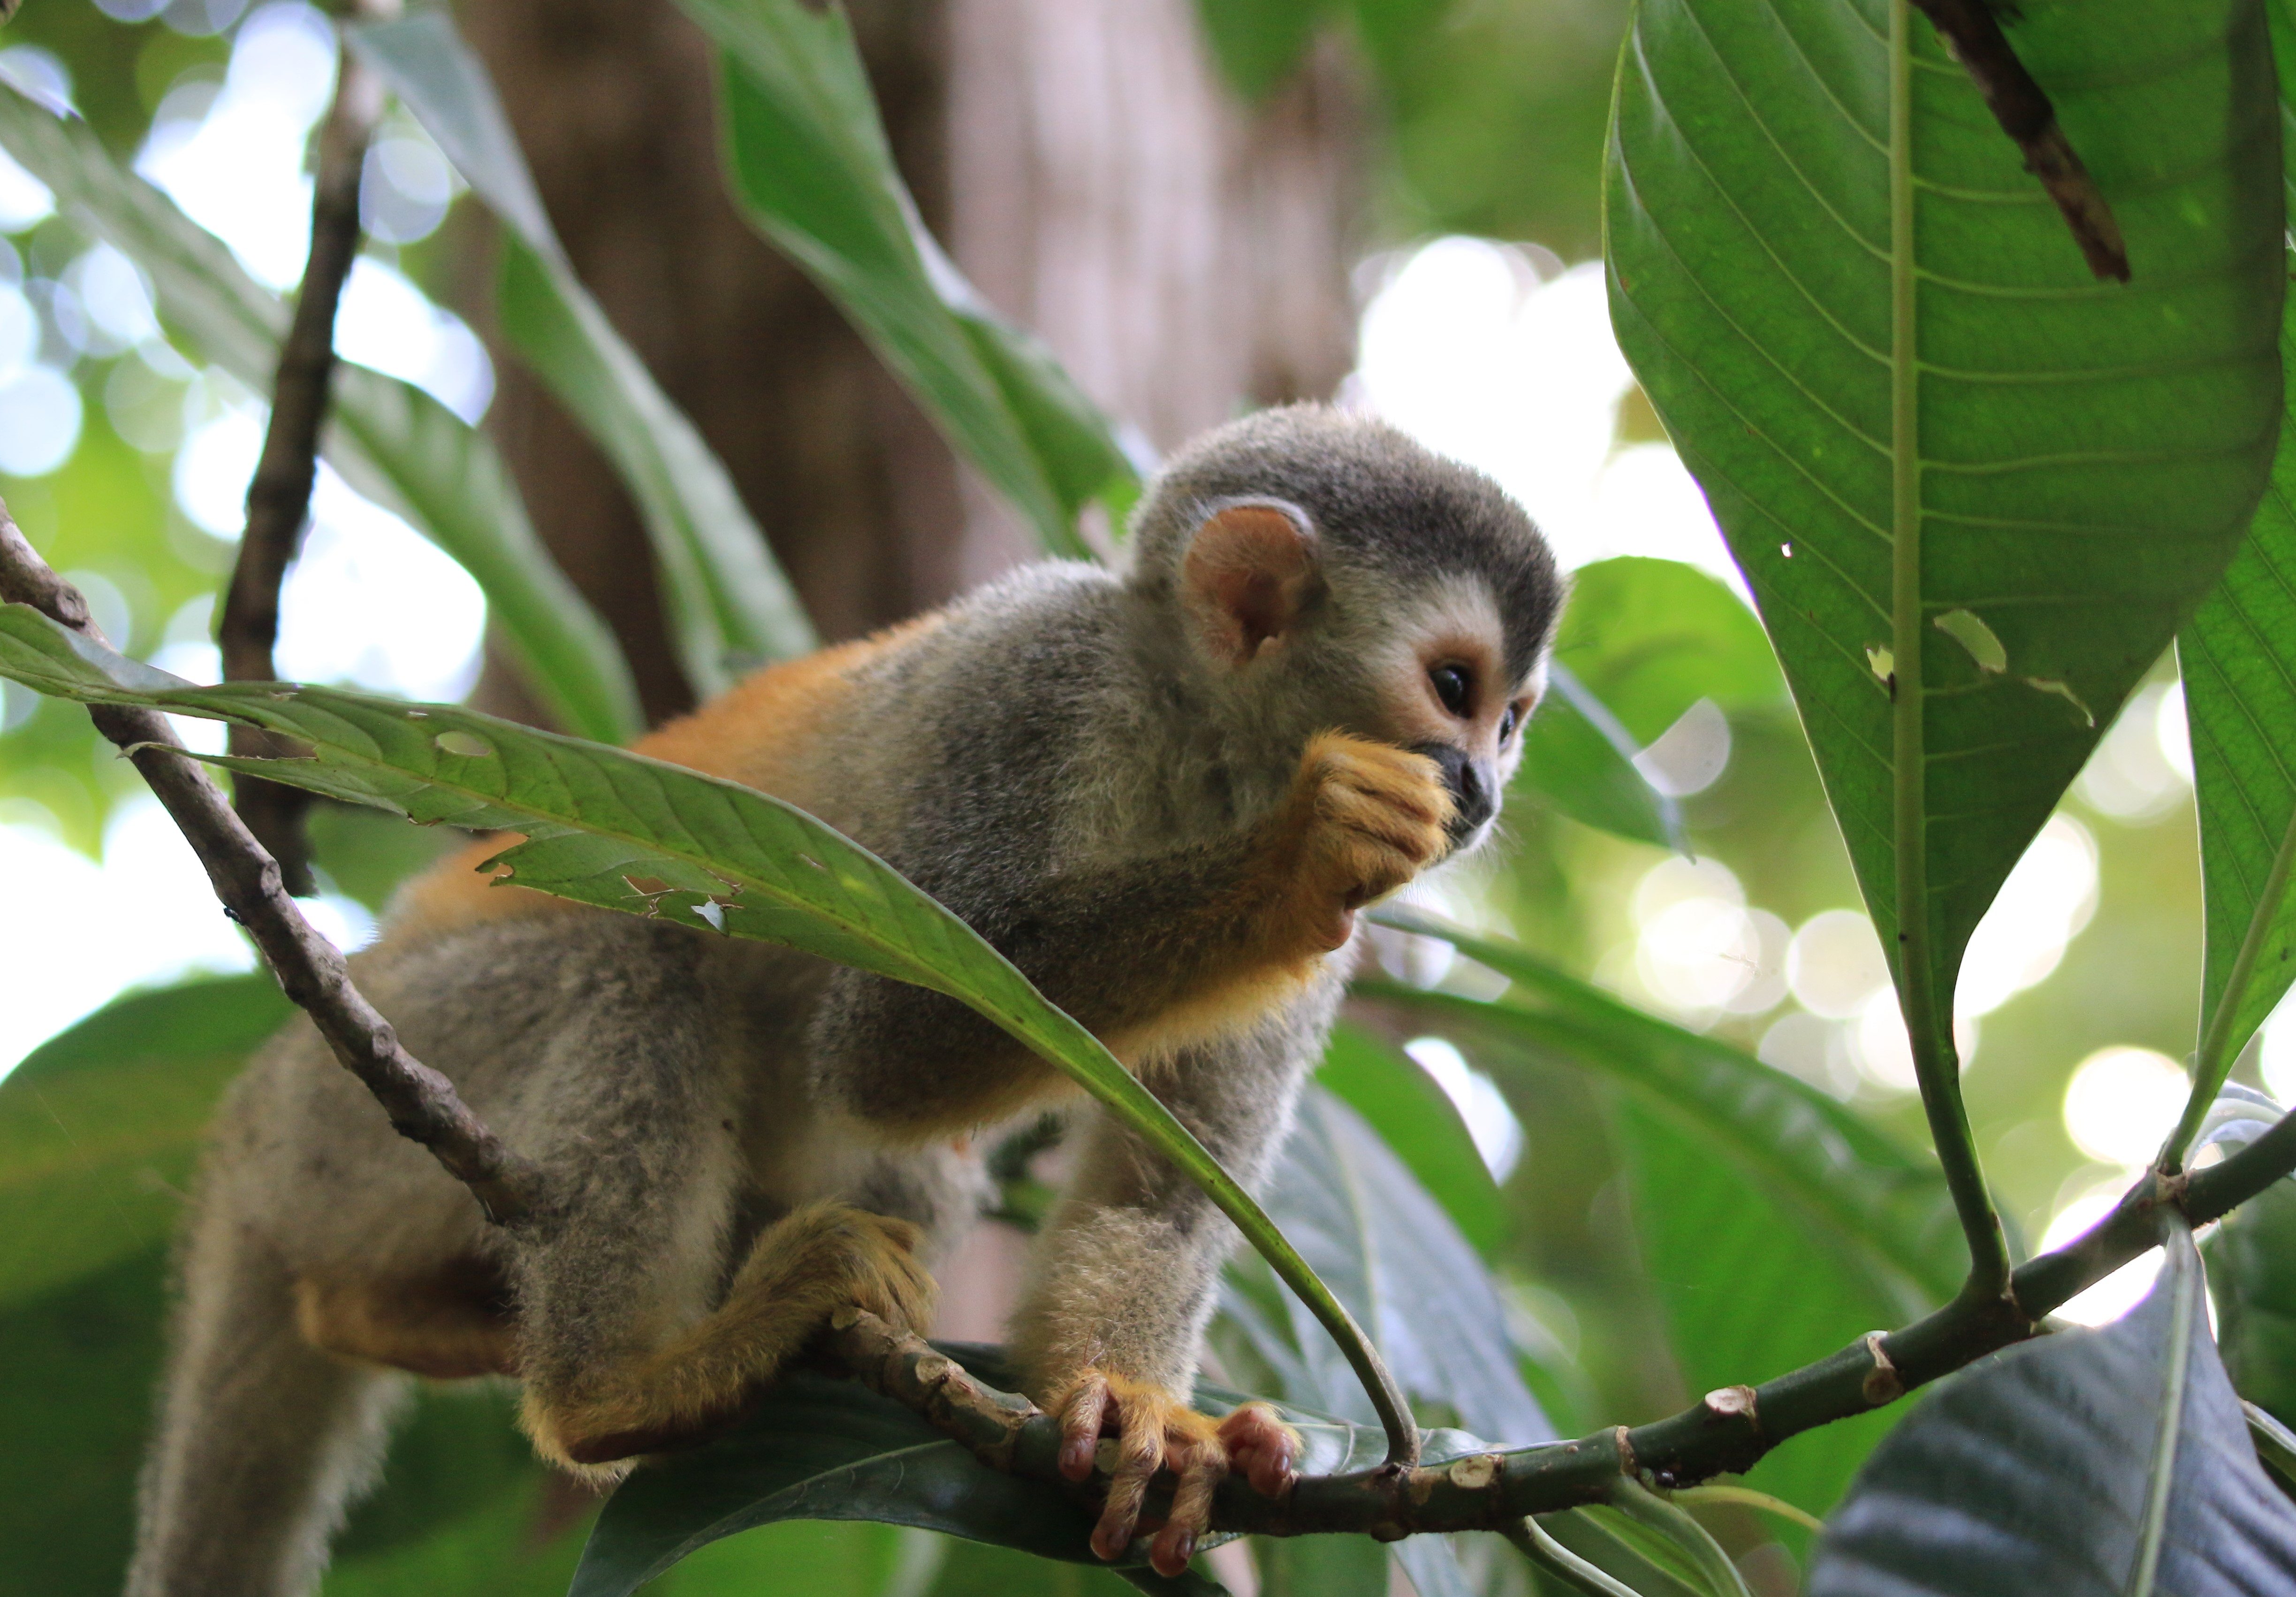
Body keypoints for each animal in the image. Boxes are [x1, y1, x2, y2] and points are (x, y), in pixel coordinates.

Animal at [125, 406, 1561, 1590]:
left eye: (1514, 719)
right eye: (1454, 688)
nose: (1482, 792)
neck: (1201, 743)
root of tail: (247, 1128)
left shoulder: (1328, 951)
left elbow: (1156, 1190)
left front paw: (1139, 1414)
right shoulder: (1028, 693)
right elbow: (890, 1045)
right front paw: (1296, 852)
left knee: (910, 1165)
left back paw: (391, 1315)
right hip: (363, 1099)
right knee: (641, 972)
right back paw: (616, 1390)